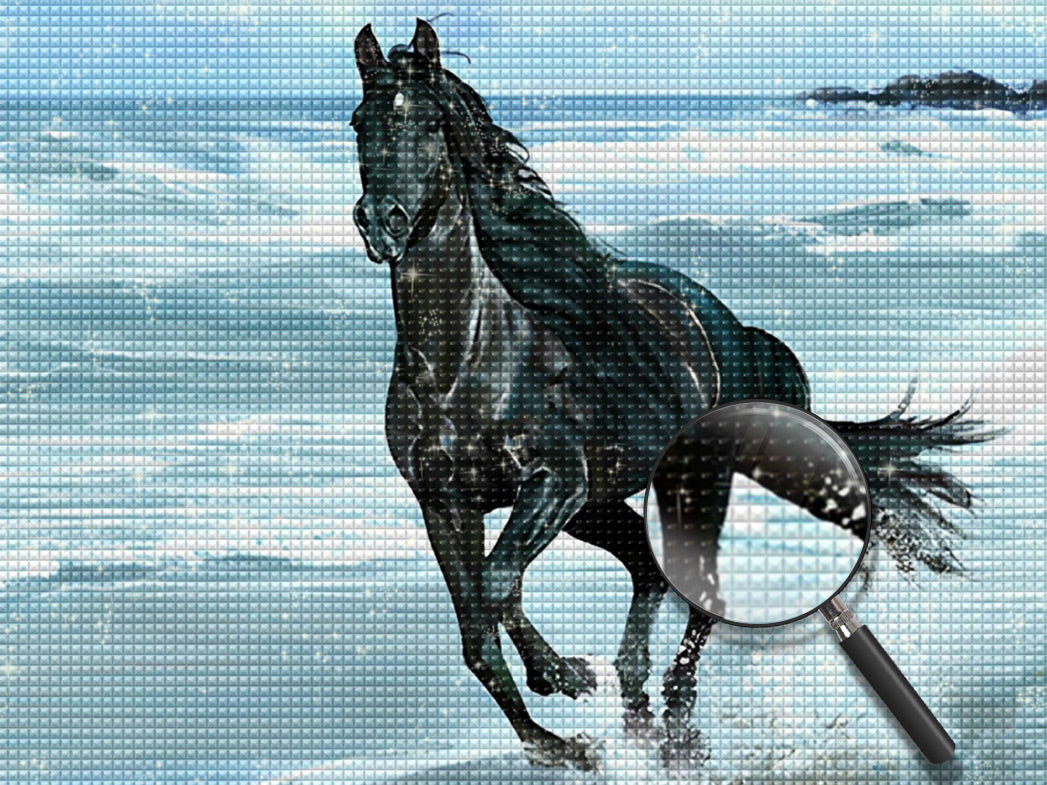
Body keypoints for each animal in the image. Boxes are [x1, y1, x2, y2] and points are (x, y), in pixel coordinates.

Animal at [350, 19, 994, 770]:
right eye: (359, 122)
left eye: (428, 123)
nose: (381, 221)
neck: (460, 367)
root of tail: (733, 331)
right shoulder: (444, 504)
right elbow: (476, 629)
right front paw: (557, 737)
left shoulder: (555, 481)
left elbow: (495, 582)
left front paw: (563, 683)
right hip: (598, 505)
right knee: (648, 572)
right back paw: (634, 707)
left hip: (676, 488)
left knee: (696, 594)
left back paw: (676, 721)